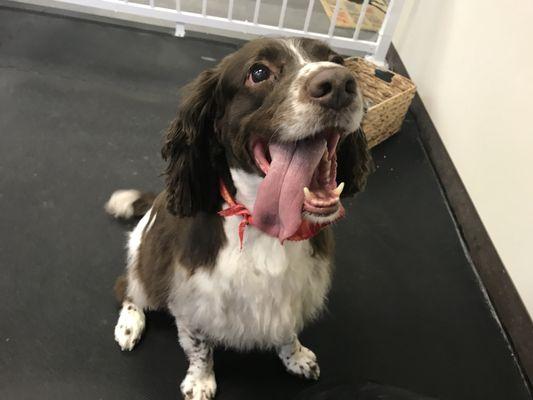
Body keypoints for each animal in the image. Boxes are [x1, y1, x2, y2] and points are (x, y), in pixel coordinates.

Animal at [104, 37, 370, 400]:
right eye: (258, 72)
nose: (340, 84)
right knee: (129, 288)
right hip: (147, 263)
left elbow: (287, 331)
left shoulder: (292, 292)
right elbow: (200, 347)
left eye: (336, 60)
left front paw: (296, 357)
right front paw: (200, 381)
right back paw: (130, 323)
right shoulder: (192, 297)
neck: (265, 224)